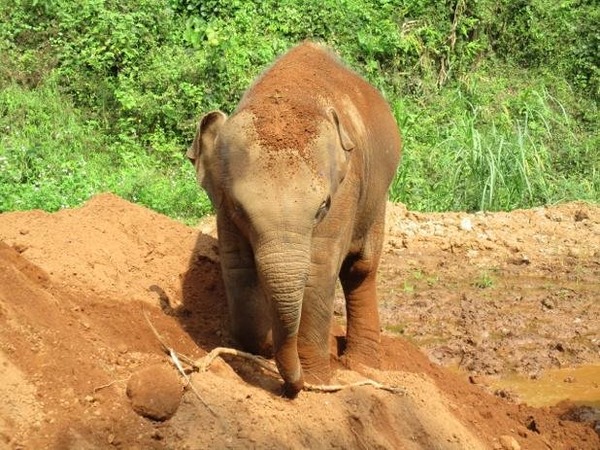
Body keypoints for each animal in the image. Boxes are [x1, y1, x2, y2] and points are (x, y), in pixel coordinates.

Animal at [188, 42, 404, 398]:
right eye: (239, 208)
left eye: (322, 207)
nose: (294, 387)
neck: (285, 94)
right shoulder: (223, 207)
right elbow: (239, 269)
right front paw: (258, 352)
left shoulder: (345, 194)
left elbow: (319, 272)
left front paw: (316, 379)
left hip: (377, 194)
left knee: (361, 268)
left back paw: (363, 365)